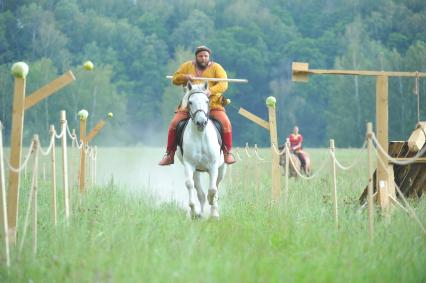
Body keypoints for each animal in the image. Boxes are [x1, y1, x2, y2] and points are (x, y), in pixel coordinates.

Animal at [176, 82, 226, 220]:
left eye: (207, 101)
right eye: (190, 102)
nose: (201, 122)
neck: (200, 135)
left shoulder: (213, 165)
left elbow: (213, 189)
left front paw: (214, 213)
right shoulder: (189, 165)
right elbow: (189, 184)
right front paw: (194, 211)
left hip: (222, 168)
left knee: (216, 186)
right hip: (197, 171)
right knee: (200, 192)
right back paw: (201, 213)